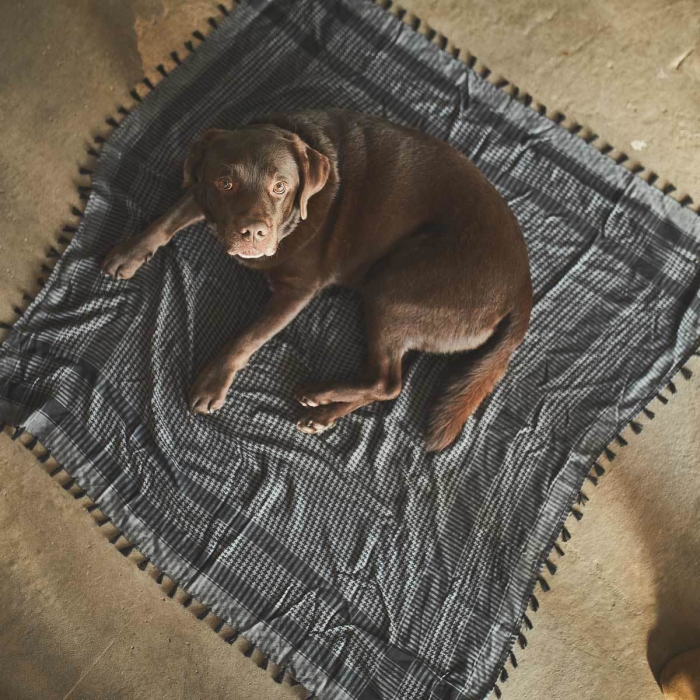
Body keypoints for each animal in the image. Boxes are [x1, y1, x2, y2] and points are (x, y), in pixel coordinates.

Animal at [102, 109, 532, 448]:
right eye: (225, 182)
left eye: (280, 187)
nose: (254, 233)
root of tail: (522, 293)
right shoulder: (205, 199)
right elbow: (167, 219)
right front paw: (128, 252)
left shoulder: (296, 292)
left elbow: (245, 339)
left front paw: (211, 382)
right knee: (390, 381)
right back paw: (321, 415)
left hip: (393, 286)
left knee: (387, 380)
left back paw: (318, 395)